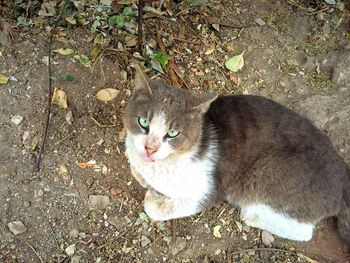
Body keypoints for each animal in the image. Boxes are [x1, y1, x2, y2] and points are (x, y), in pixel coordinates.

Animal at [123, 64, 350, 248]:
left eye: (172, 133)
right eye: (143, 122)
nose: (150, 148)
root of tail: (344, 177)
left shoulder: (207, 190)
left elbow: (154, 206)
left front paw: (153, 196)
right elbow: (135, 167)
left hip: (266, 173)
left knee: (304, 232)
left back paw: (251, 215)